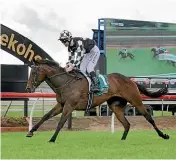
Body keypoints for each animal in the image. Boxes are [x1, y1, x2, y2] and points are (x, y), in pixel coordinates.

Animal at [25, 58, 169, 142]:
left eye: (34, 73)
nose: (28, 88)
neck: (66, 83)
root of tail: (131, 80)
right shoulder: (61, 104)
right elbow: (45, 116)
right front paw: (30, 132)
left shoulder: (69, 105)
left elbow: (61, 122)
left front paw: (52, 138)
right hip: (115, 106)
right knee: (126, 124)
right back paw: (122, 140)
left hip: (136, 101)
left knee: (148, 117)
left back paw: (163, 135)